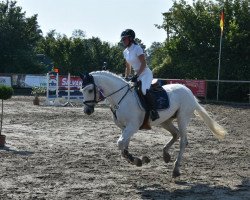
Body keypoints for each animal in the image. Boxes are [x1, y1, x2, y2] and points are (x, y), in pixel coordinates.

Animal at [80, 71, 227, 177]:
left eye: (89, 90)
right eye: (82, 90)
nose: (87, 111)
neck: (120, 98)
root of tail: (188, 90)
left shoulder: (133, 126)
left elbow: (121, 143)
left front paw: (137, 160)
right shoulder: (124, 127)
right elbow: (124, 145)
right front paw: (137, 159)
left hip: (183, 118)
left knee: (183, 141)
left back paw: (176, 169)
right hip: (165, 121)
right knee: (176, 134)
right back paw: (166, 155)